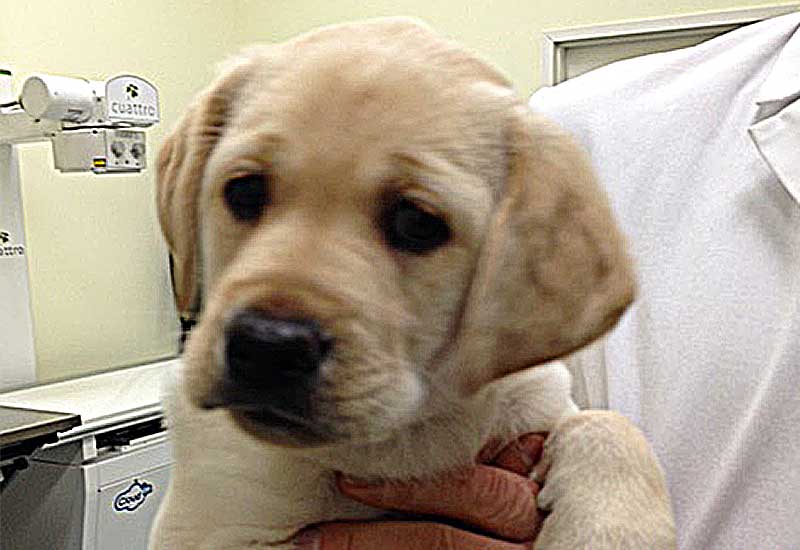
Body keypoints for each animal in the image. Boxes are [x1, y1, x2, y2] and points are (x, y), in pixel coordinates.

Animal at [150, 18, 676, 550]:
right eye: (244, 191)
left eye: (417, 223)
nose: (266, 346)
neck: (400, 437)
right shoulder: (210, 524)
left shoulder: (540, 402)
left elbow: (605, 422)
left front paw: (611, 528)